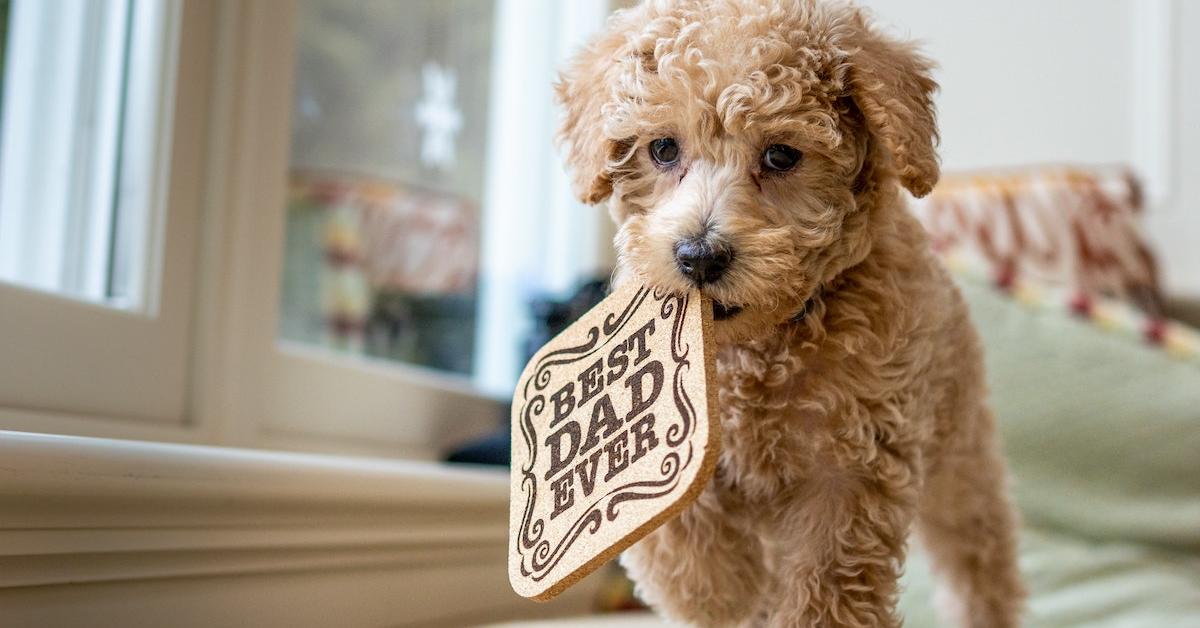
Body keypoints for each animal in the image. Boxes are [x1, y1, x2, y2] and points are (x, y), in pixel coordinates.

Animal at [556, 2, 1027, 624]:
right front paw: (729, 596)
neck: (760, 346)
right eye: (662, 149)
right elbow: (693, 554)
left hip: (961, 460)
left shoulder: (850, 473)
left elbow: (824, 592)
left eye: (781, 155)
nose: (699, 256)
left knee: (978, 562)